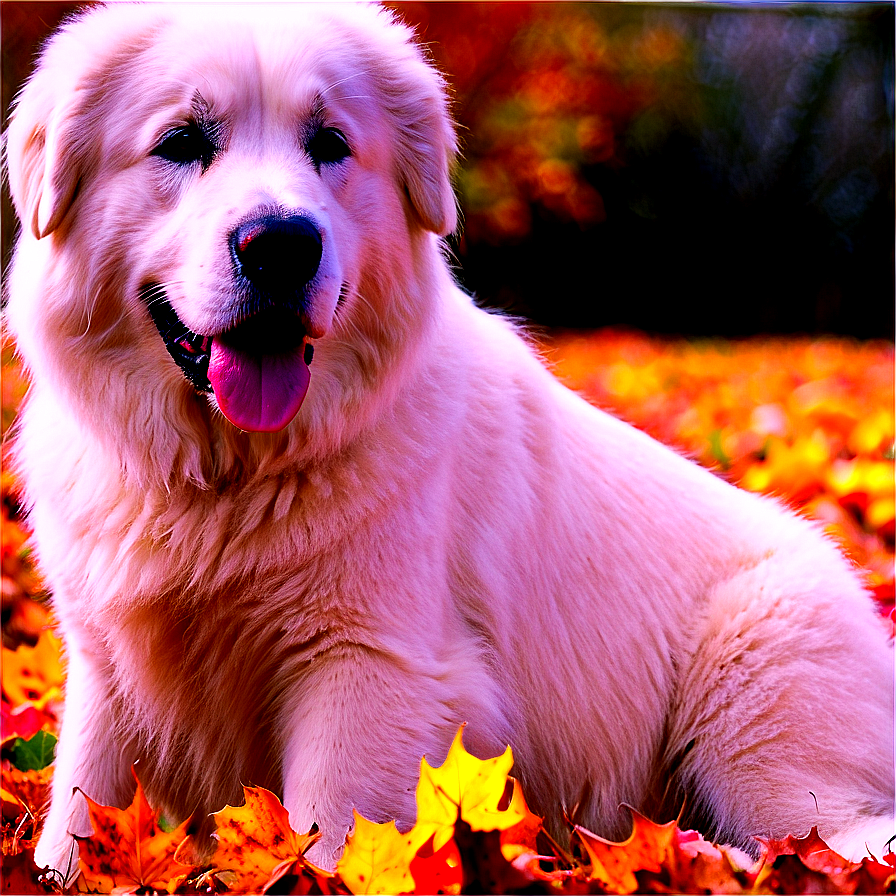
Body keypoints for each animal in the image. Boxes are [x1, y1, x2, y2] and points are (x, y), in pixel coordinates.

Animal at [3, 1, 892, 880]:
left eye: (330, 144)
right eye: (182, 142)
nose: (282, 244)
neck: (223, 476)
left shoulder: (368, 672)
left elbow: (332, 839)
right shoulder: (105, 671)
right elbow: (78, 814)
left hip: (758, 718)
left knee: (833, 840)